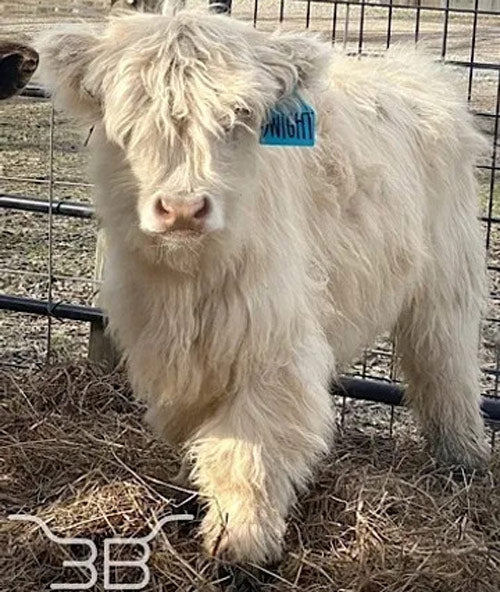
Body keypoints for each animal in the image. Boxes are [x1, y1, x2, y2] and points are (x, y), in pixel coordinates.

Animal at [38, 10, 488, 564]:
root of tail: (416, 68)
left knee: (446, 366)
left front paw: (239, 542)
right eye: (130, 119)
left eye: (240, 115)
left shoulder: (273, 342)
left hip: (447, 280)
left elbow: (249, 446)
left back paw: (463, 460)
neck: (188, 284)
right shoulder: (166, 344)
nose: (183, 208)